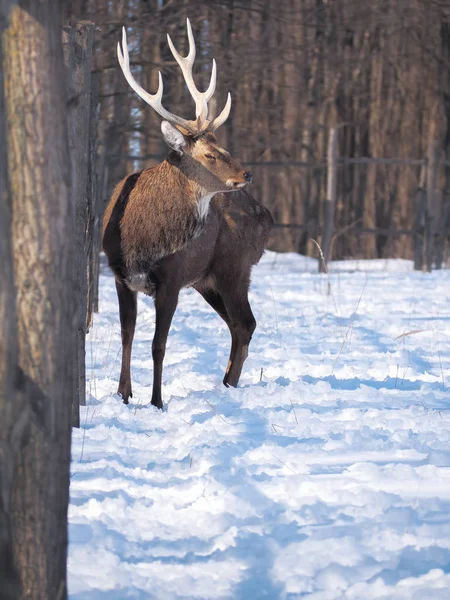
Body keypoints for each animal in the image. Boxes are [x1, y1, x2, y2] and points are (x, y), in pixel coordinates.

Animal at [103, 19, 270, 412]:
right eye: (209, 154)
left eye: (223, 146)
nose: (246, 174)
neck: (141, 238)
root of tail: (266, 217)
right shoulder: (120, 275)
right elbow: (127, 335)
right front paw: (123, 395)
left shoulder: (172, 279)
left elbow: (158, 345)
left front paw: (156, 401)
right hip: (207, 280)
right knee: (237, 325)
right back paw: (225, 383)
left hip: (234, 267)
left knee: (246, 323)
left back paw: (228, 386)